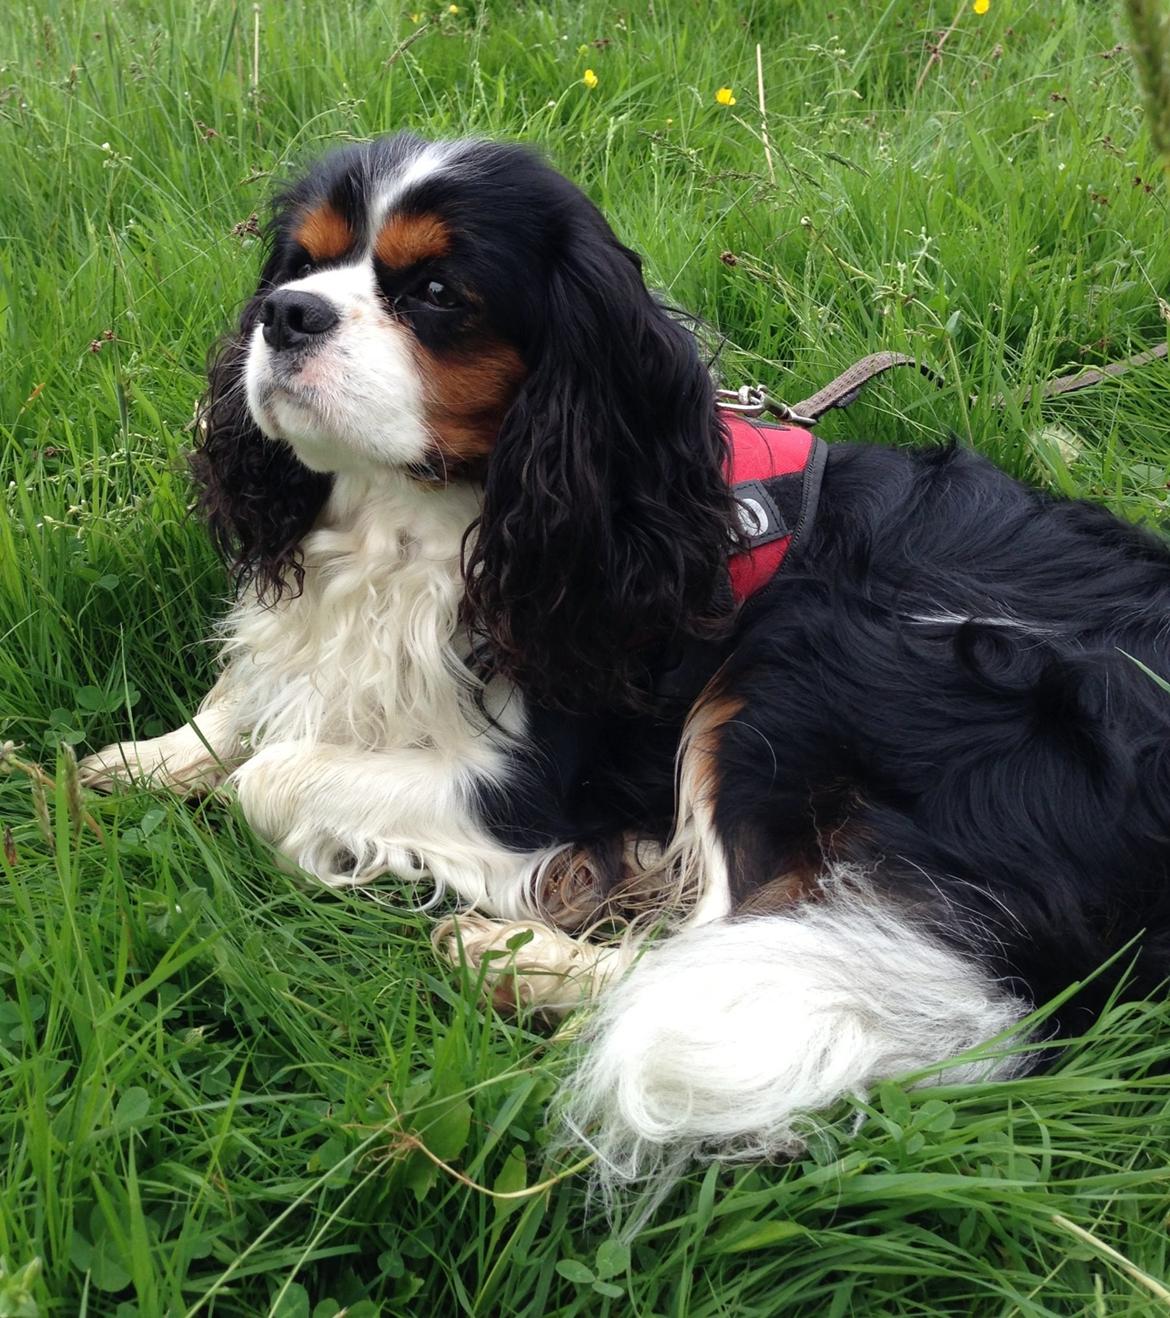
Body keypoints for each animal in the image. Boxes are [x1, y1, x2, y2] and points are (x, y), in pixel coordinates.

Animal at [80, 133, 1170, 1196]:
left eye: (435, 292)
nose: (287, 314)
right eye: (300, 265)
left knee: (717, 953)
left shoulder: (528, 785)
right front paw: (142, 760)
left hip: (796, 666)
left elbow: (272, 775)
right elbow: (245, 695)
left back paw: (519, 958)